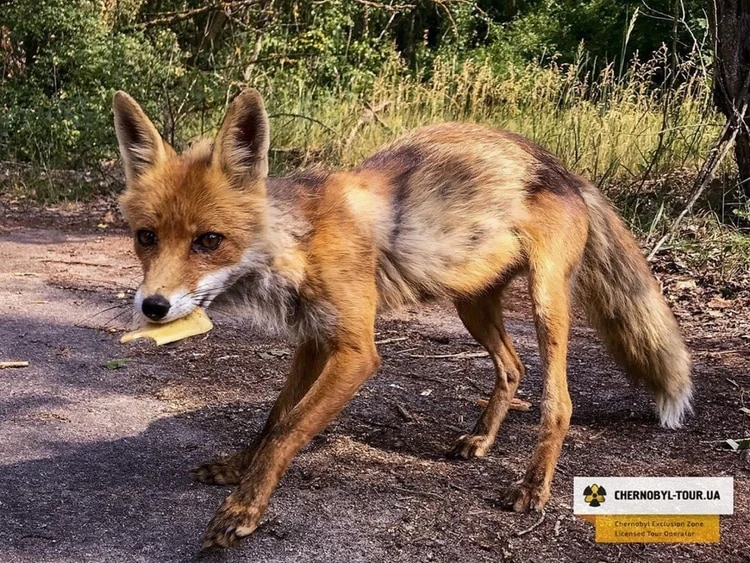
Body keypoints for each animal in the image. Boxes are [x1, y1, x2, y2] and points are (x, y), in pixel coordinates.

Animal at [113, 88, 692, 548]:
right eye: (146, 237)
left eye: (209, 241)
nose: (152, 306)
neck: (300, 243)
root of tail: (561, 168)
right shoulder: (314, 338)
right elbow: (274, 418)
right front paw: (238, 469)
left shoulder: (356, 352)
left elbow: (289, 431)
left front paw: (243, 510)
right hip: (471, 303)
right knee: (512, 368)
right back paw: (480, 441)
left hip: (545, 303)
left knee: (558, 402)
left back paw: (532, 485)